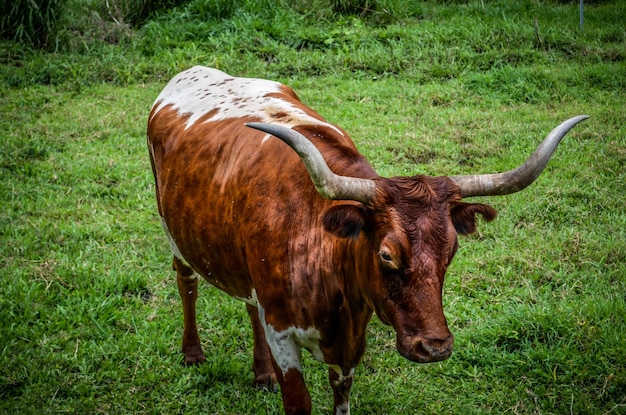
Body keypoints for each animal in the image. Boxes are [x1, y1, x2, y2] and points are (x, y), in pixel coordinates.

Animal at [146, 66, 584, 414]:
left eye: (452, 251)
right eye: (386, 255)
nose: (435, 347)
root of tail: (193, 71)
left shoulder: (350, 342)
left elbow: (341, 393)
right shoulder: (283, 331)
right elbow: (299, 402)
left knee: (249, 304)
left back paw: (261, 372)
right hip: (172, 231)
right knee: (186, 284)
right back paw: (192, 354)